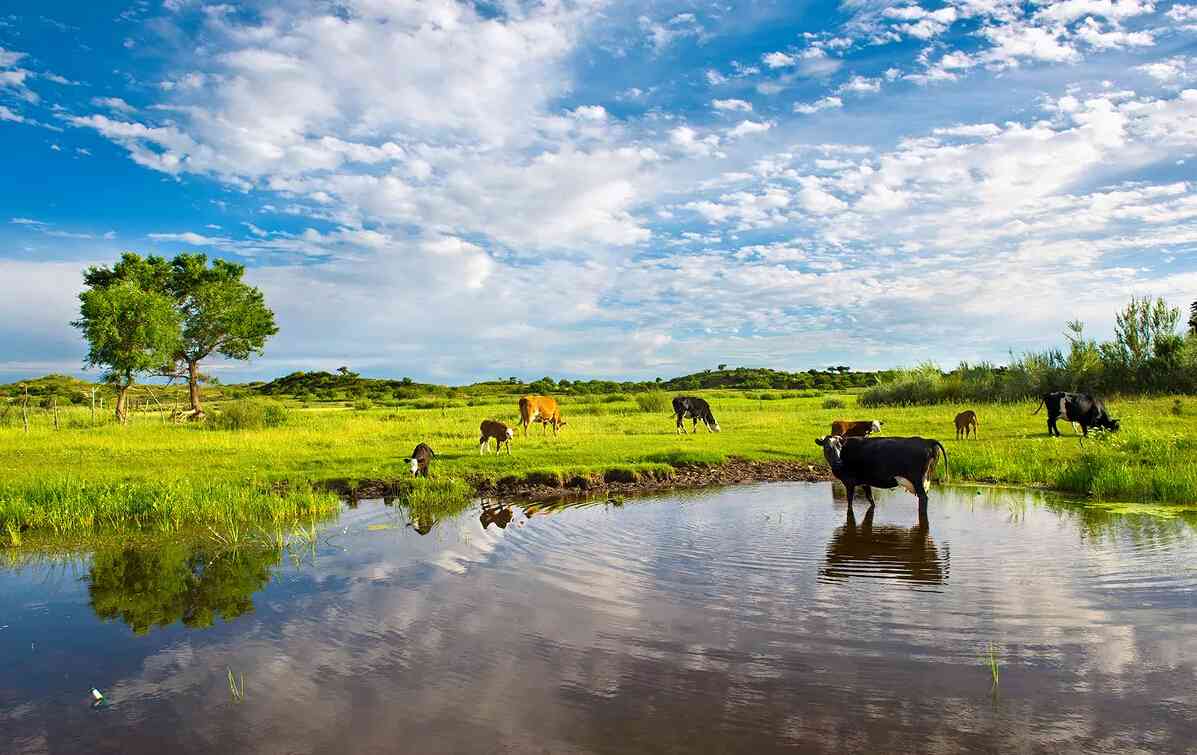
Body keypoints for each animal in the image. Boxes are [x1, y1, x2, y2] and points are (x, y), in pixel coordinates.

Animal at [818, 433, 948, 516]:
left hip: (917, 480)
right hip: (925, 480)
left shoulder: (849, 482)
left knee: (923, 499)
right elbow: (871, 499)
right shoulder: (865, 482)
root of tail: (926, 440)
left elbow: (849, 501)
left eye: (840, 447)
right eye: (827, 448)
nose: (838, 462)